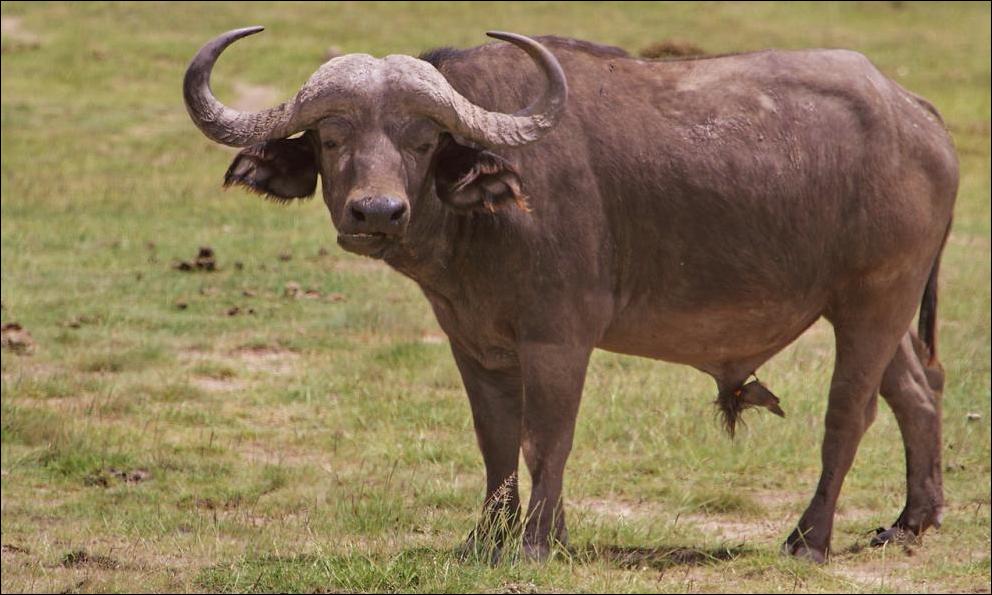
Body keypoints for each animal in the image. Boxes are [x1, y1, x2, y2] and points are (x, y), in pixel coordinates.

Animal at [183, 27, 957, 563]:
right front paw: (487, 540)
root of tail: (917, 112)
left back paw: (810, 537)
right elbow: (496, 440)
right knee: (917, 391)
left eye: (424, 140)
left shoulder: (559, 337)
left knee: (849, 414)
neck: (483, 219)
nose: (377, 212)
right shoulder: (475, 342)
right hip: (873, 310)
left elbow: (546, 437)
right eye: (331, 138)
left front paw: (536, 542)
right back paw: (909, 521)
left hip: (873, 300)